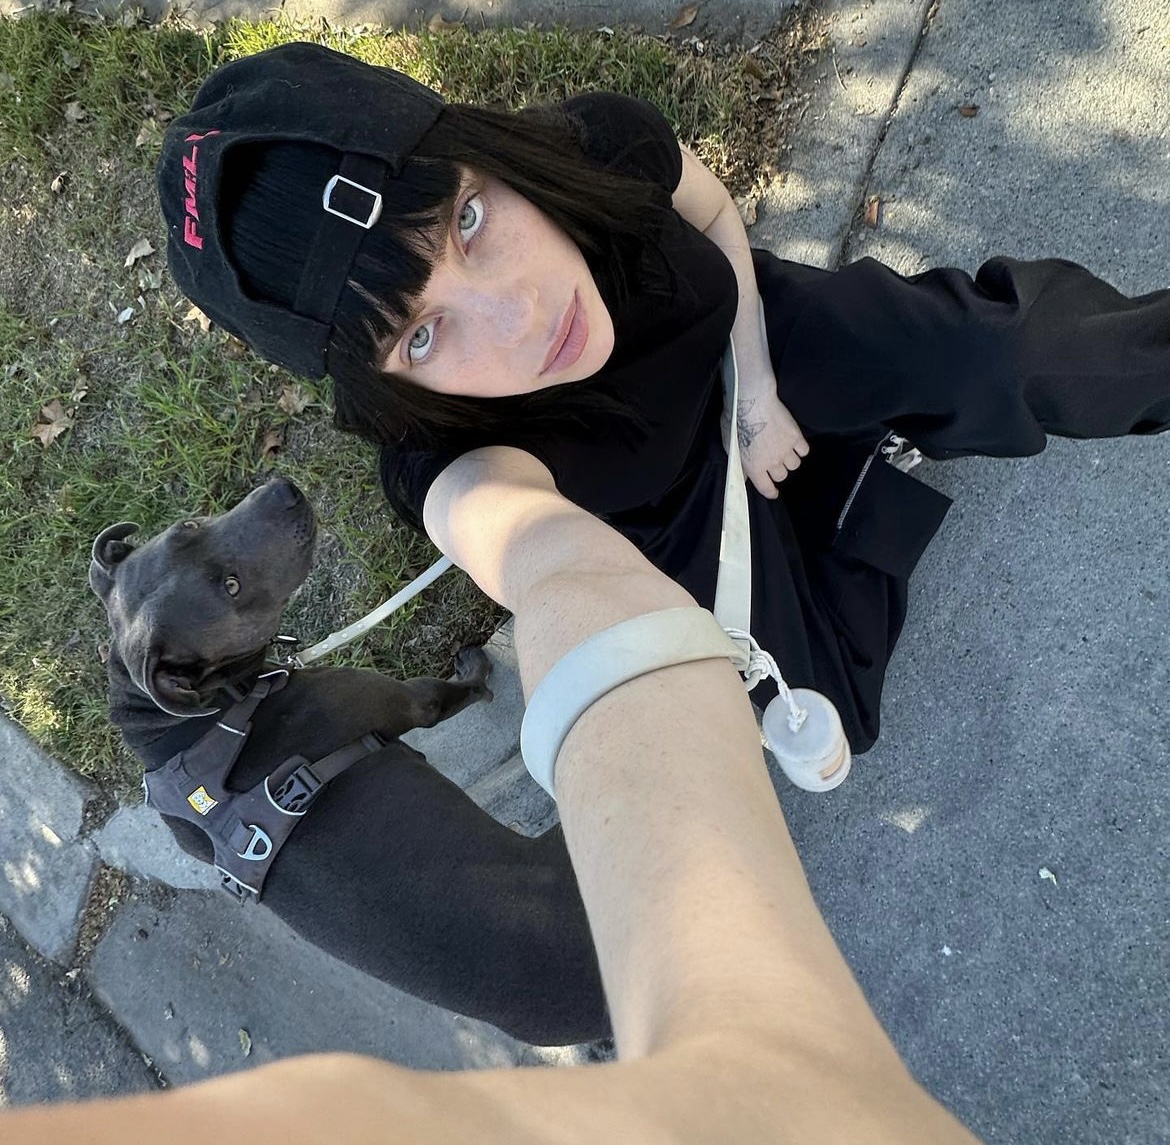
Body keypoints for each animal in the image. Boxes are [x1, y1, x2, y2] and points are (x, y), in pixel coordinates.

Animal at [89, 475, 608, 1047]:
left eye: (188, 526)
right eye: (232, 588)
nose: (284, 492)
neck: (185, 727)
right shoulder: (407, 702)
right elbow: (447, 696)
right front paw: (475, 671)